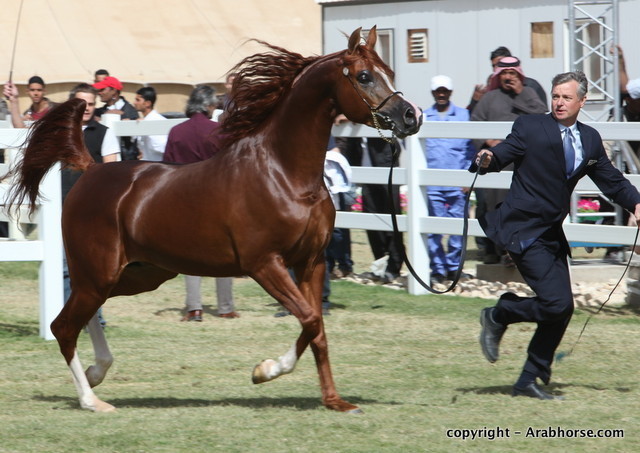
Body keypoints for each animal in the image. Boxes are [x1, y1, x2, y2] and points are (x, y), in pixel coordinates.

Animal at [4, 26, 422, 413]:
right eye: (364, 76)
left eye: (388, 71)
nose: (410, 116)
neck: (285, 174)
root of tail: (91, 170)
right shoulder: (264, 264)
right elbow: (309, 319)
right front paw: (265, 370)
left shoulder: (311, 261)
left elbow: (315, 324)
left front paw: (334, 401)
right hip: (100, 271)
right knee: (63, 325)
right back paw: (92, 399)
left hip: (139, 274)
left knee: (83, 315)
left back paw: (97, 371)